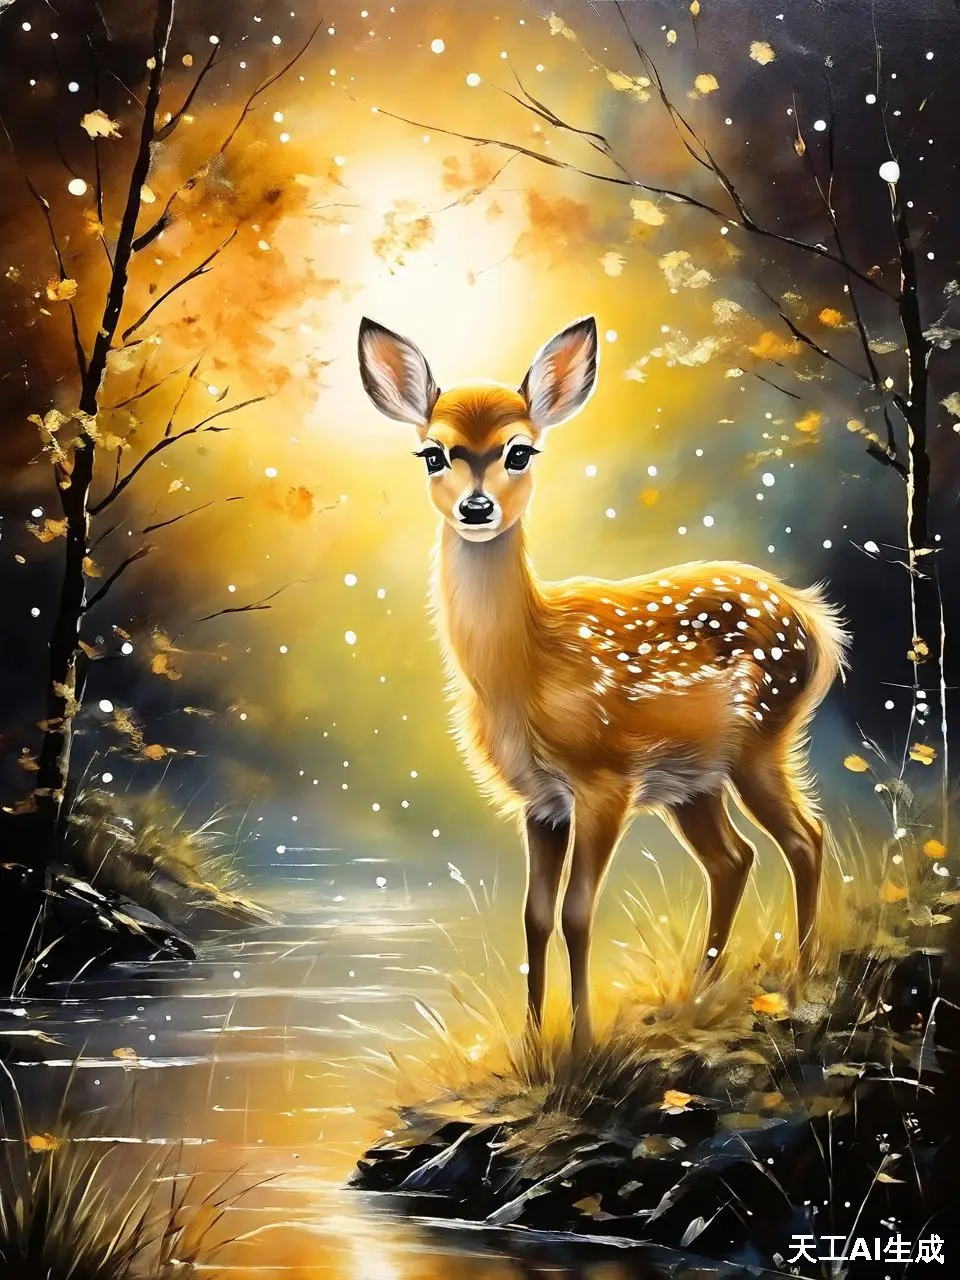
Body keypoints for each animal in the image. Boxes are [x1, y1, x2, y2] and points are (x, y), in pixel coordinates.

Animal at [358, 314, 849, 1057]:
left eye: (520, 451)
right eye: (433, 455)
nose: (476, 508)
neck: (523, 668)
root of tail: (816, 621)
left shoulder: (603, 778)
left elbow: (577, 913)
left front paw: (583, 1042)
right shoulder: (540, 801)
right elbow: (534, 915)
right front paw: (535, 1042)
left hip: (762, 738)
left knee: (804, 837)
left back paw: (801, 978)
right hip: (694, 779)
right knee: (734, 858)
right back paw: (700, 993)